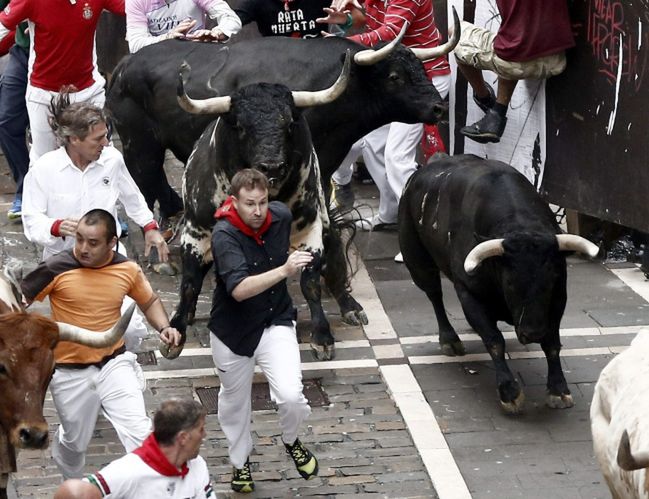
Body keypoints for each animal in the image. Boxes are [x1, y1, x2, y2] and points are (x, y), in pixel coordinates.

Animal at [165, 54, 352, 362]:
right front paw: (176, 331)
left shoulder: (309, 229)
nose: (272, 167)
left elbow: (311, 282)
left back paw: (350, 307)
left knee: (334, 244)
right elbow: (190, 283)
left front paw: (322, 336)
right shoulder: (196, 232)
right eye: (241, 127)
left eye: (289, 125)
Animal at [398, 156, 600, 414]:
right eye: (510, 282)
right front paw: (509, 392)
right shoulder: (468, 292)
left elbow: (552, 343)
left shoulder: (557, 299)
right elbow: (494, 341)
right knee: (434, 295)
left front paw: (558, 390)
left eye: (551, 278)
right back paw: (449, 340)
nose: (532, 333)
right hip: (418, 261)